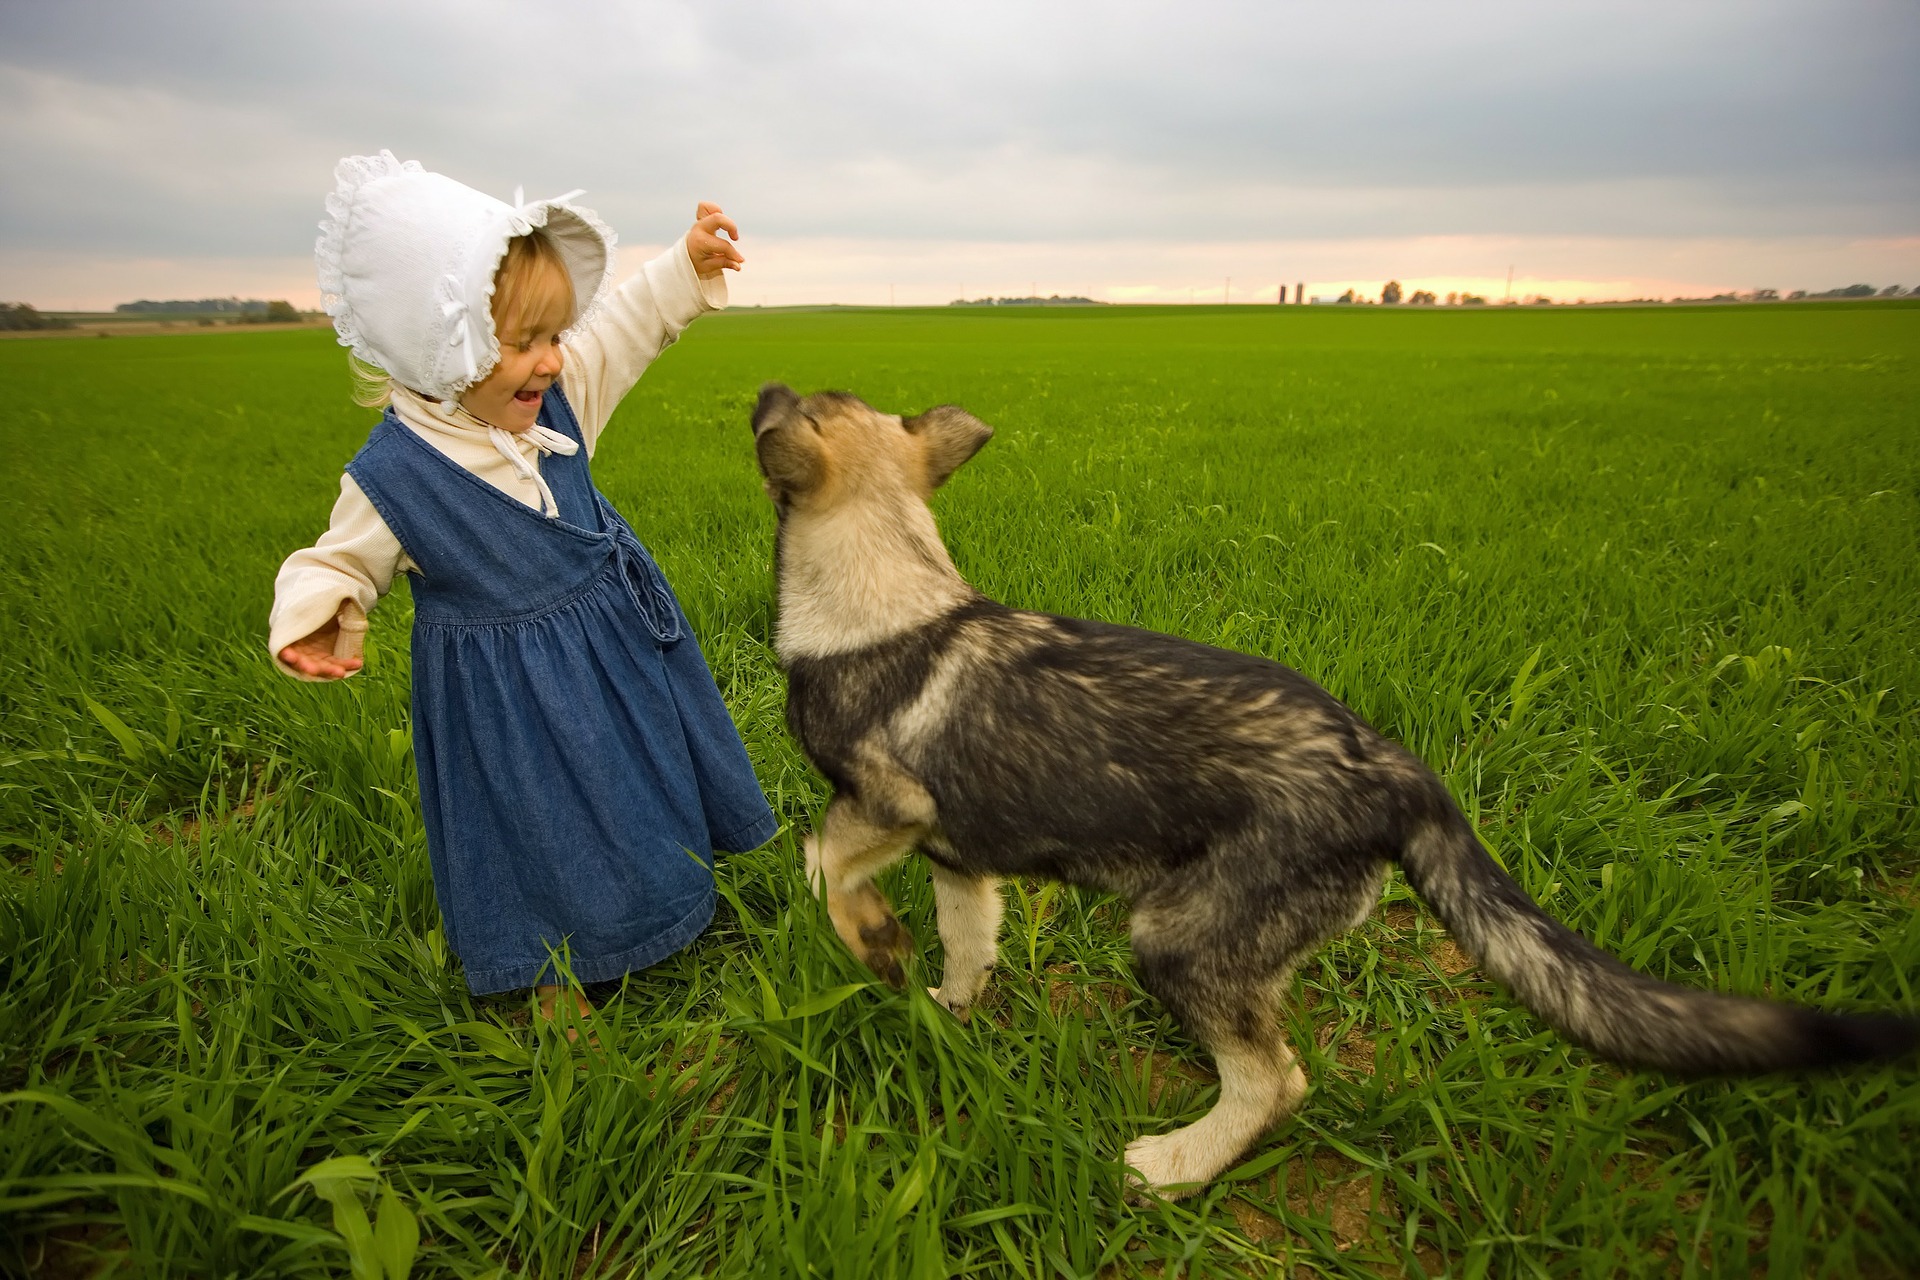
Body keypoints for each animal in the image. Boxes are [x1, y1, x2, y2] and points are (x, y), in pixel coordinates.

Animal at [748, 383, 1920, 1205]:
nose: (761, 380)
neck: (889, 584)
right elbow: (968, 940)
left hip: (1179, 938)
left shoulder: (889, 807)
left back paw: (1175, 1166)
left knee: (1277, 1081)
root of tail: (1398, 769)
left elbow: (818, 861)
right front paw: (940, 1001)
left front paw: (869, 941)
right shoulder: (960, 854)